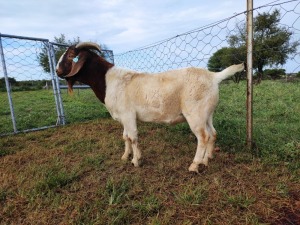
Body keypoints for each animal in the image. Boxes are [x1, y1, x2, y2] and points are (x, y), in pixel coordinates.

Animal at [56, 41, 244, 172]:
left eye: (71, 55)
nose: (57, 71)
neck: (108, 80)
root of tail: (214, 77)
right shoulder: (124, 117)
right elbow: (125, 137)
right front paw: (125, 156)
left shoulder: (128, 115)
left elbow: (133, 137)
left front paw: (136, 161)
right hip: (207, 113)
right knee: (213, 133)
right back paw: (207, 159)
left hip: (195, 114)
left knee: (203, 137)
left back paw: (194, 165)